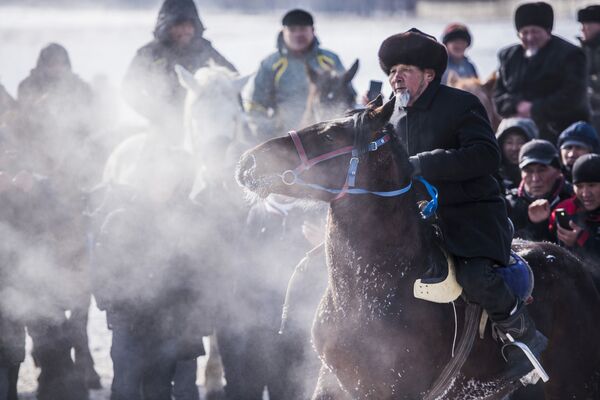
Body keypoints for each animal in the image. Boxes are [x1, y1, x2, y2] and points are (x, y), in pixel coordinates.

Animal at [238, 97, 600, 400]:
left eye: (328, 136)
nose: (248, 162)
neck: (371, 287)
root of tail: (579, 267)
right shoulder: (333, 384)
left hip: (574, 383)